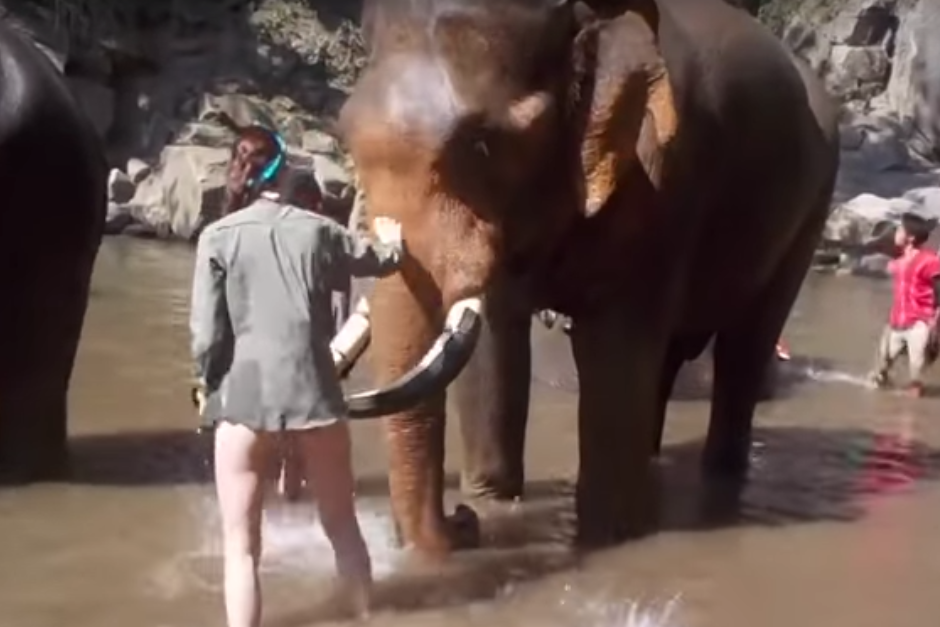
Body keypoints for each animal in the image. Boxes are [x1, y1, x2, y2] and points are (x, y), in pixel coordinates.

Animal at [324, 0, 839, 555]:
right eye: (345, 135)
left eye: (483, 145)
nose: (462, 520)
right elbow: (495, 341)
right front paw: (495, 502)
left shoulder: (661, 179)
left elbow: (611, 347)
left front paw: (609, 536)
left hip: (813, 205)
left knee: (744, 350)